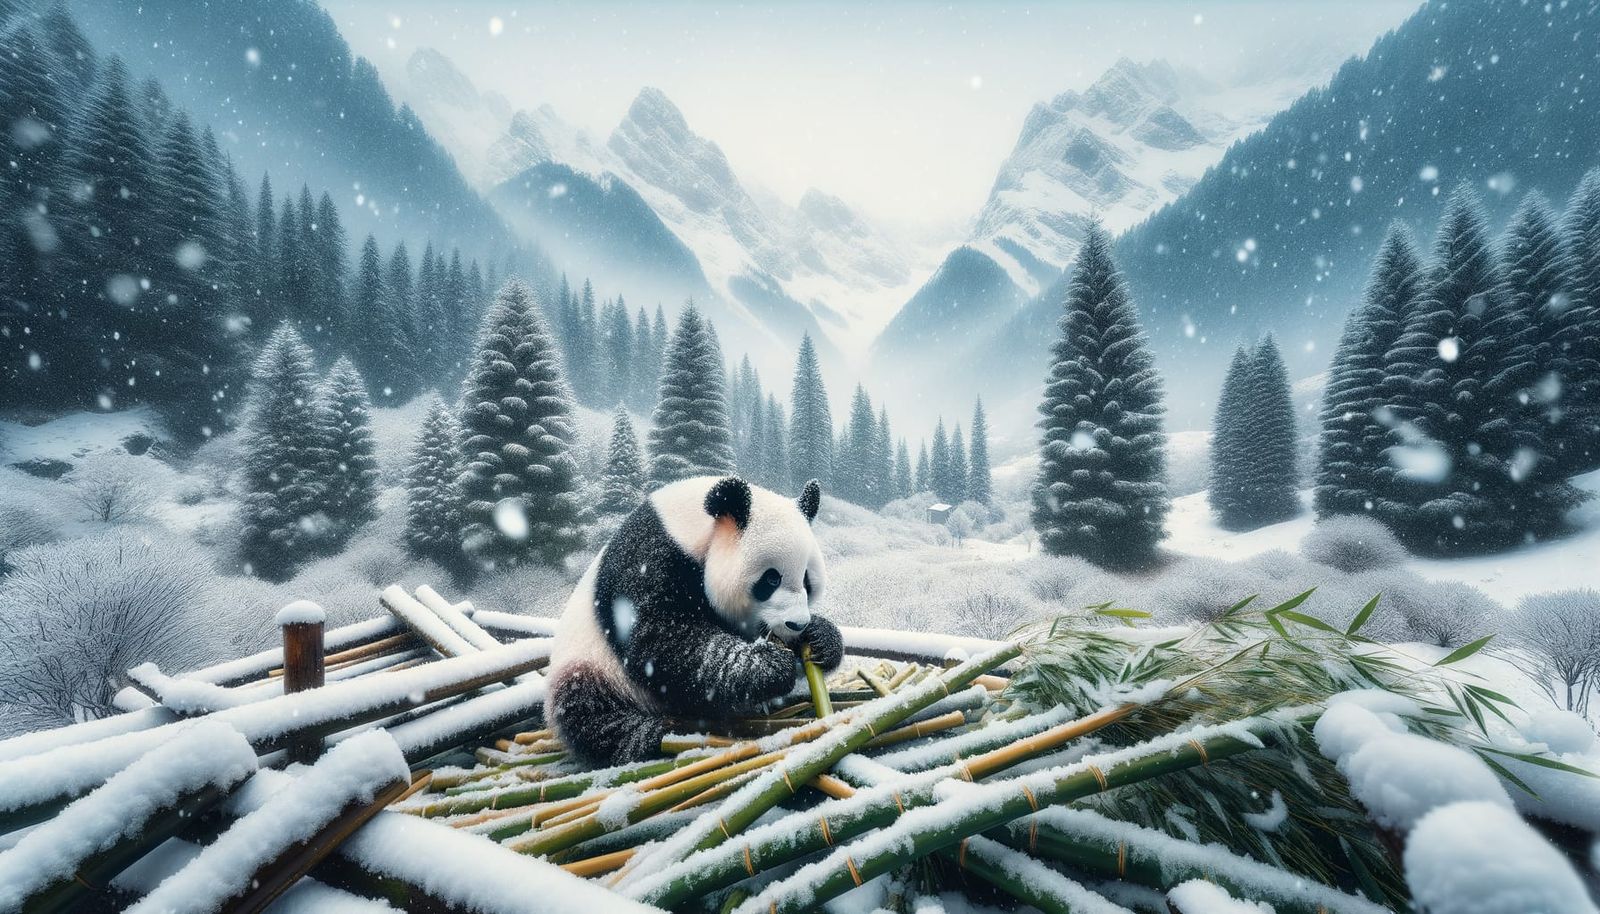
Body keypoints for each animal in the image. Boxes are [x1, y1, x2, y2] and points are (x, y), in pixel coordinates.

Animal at [545, 475, 843, 764]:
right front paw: (771, 665)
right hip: (591, 666)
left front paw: (821, 638)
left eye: (807, 580)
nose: (797, 624)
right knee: (586, 709)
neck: (694, 528)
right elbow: (661, 638)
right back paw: (645, 736)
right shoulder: (648, 560)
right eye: (771, 579)